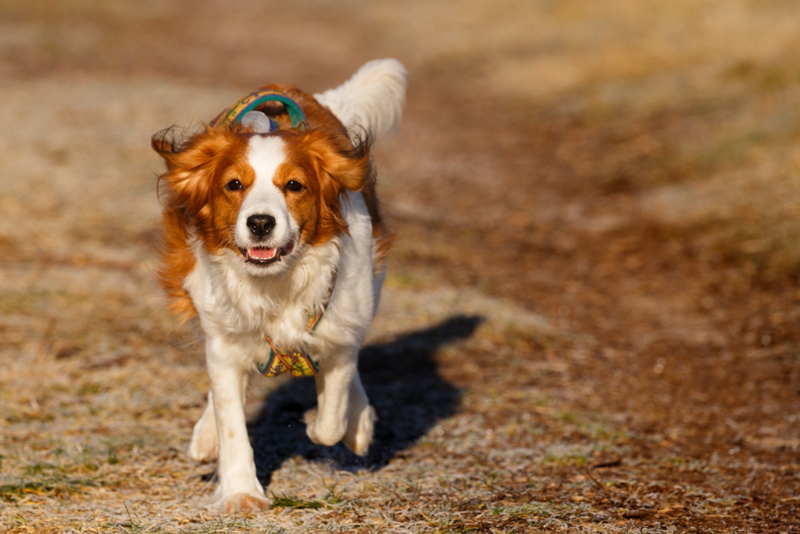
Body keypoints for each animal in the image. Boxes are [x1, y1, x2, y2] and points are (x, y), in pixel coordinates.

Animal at [151, 59, 406, 516]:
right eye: (234, 185)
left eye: (294, 185)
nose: (260, 223)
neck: (276, 282)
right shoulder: (224, 340)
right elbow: (231, 419)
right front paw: (241, 492)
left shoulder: (341, 327)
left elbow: (331, 414)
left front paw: (327, 422)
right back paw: (206, 436)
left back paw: (359, 423)